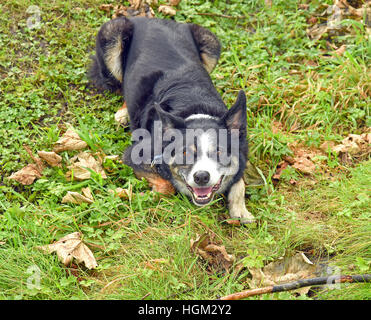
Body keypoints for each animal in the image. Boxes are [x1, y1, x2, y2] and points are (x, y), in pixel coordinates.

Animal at [88, 16, 256, 224]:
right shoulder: (134, 154)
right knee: (120, 86)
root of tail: (148, 18)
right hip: (111, 36)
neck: (196, 110)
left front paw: (241, 210)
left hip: (211, 42)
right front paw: (143, 195)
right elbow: (167, 186)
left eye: (219, 151)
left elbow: (239, 180)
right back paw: (123, 113)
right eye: (184, 153)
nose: (201, 177)